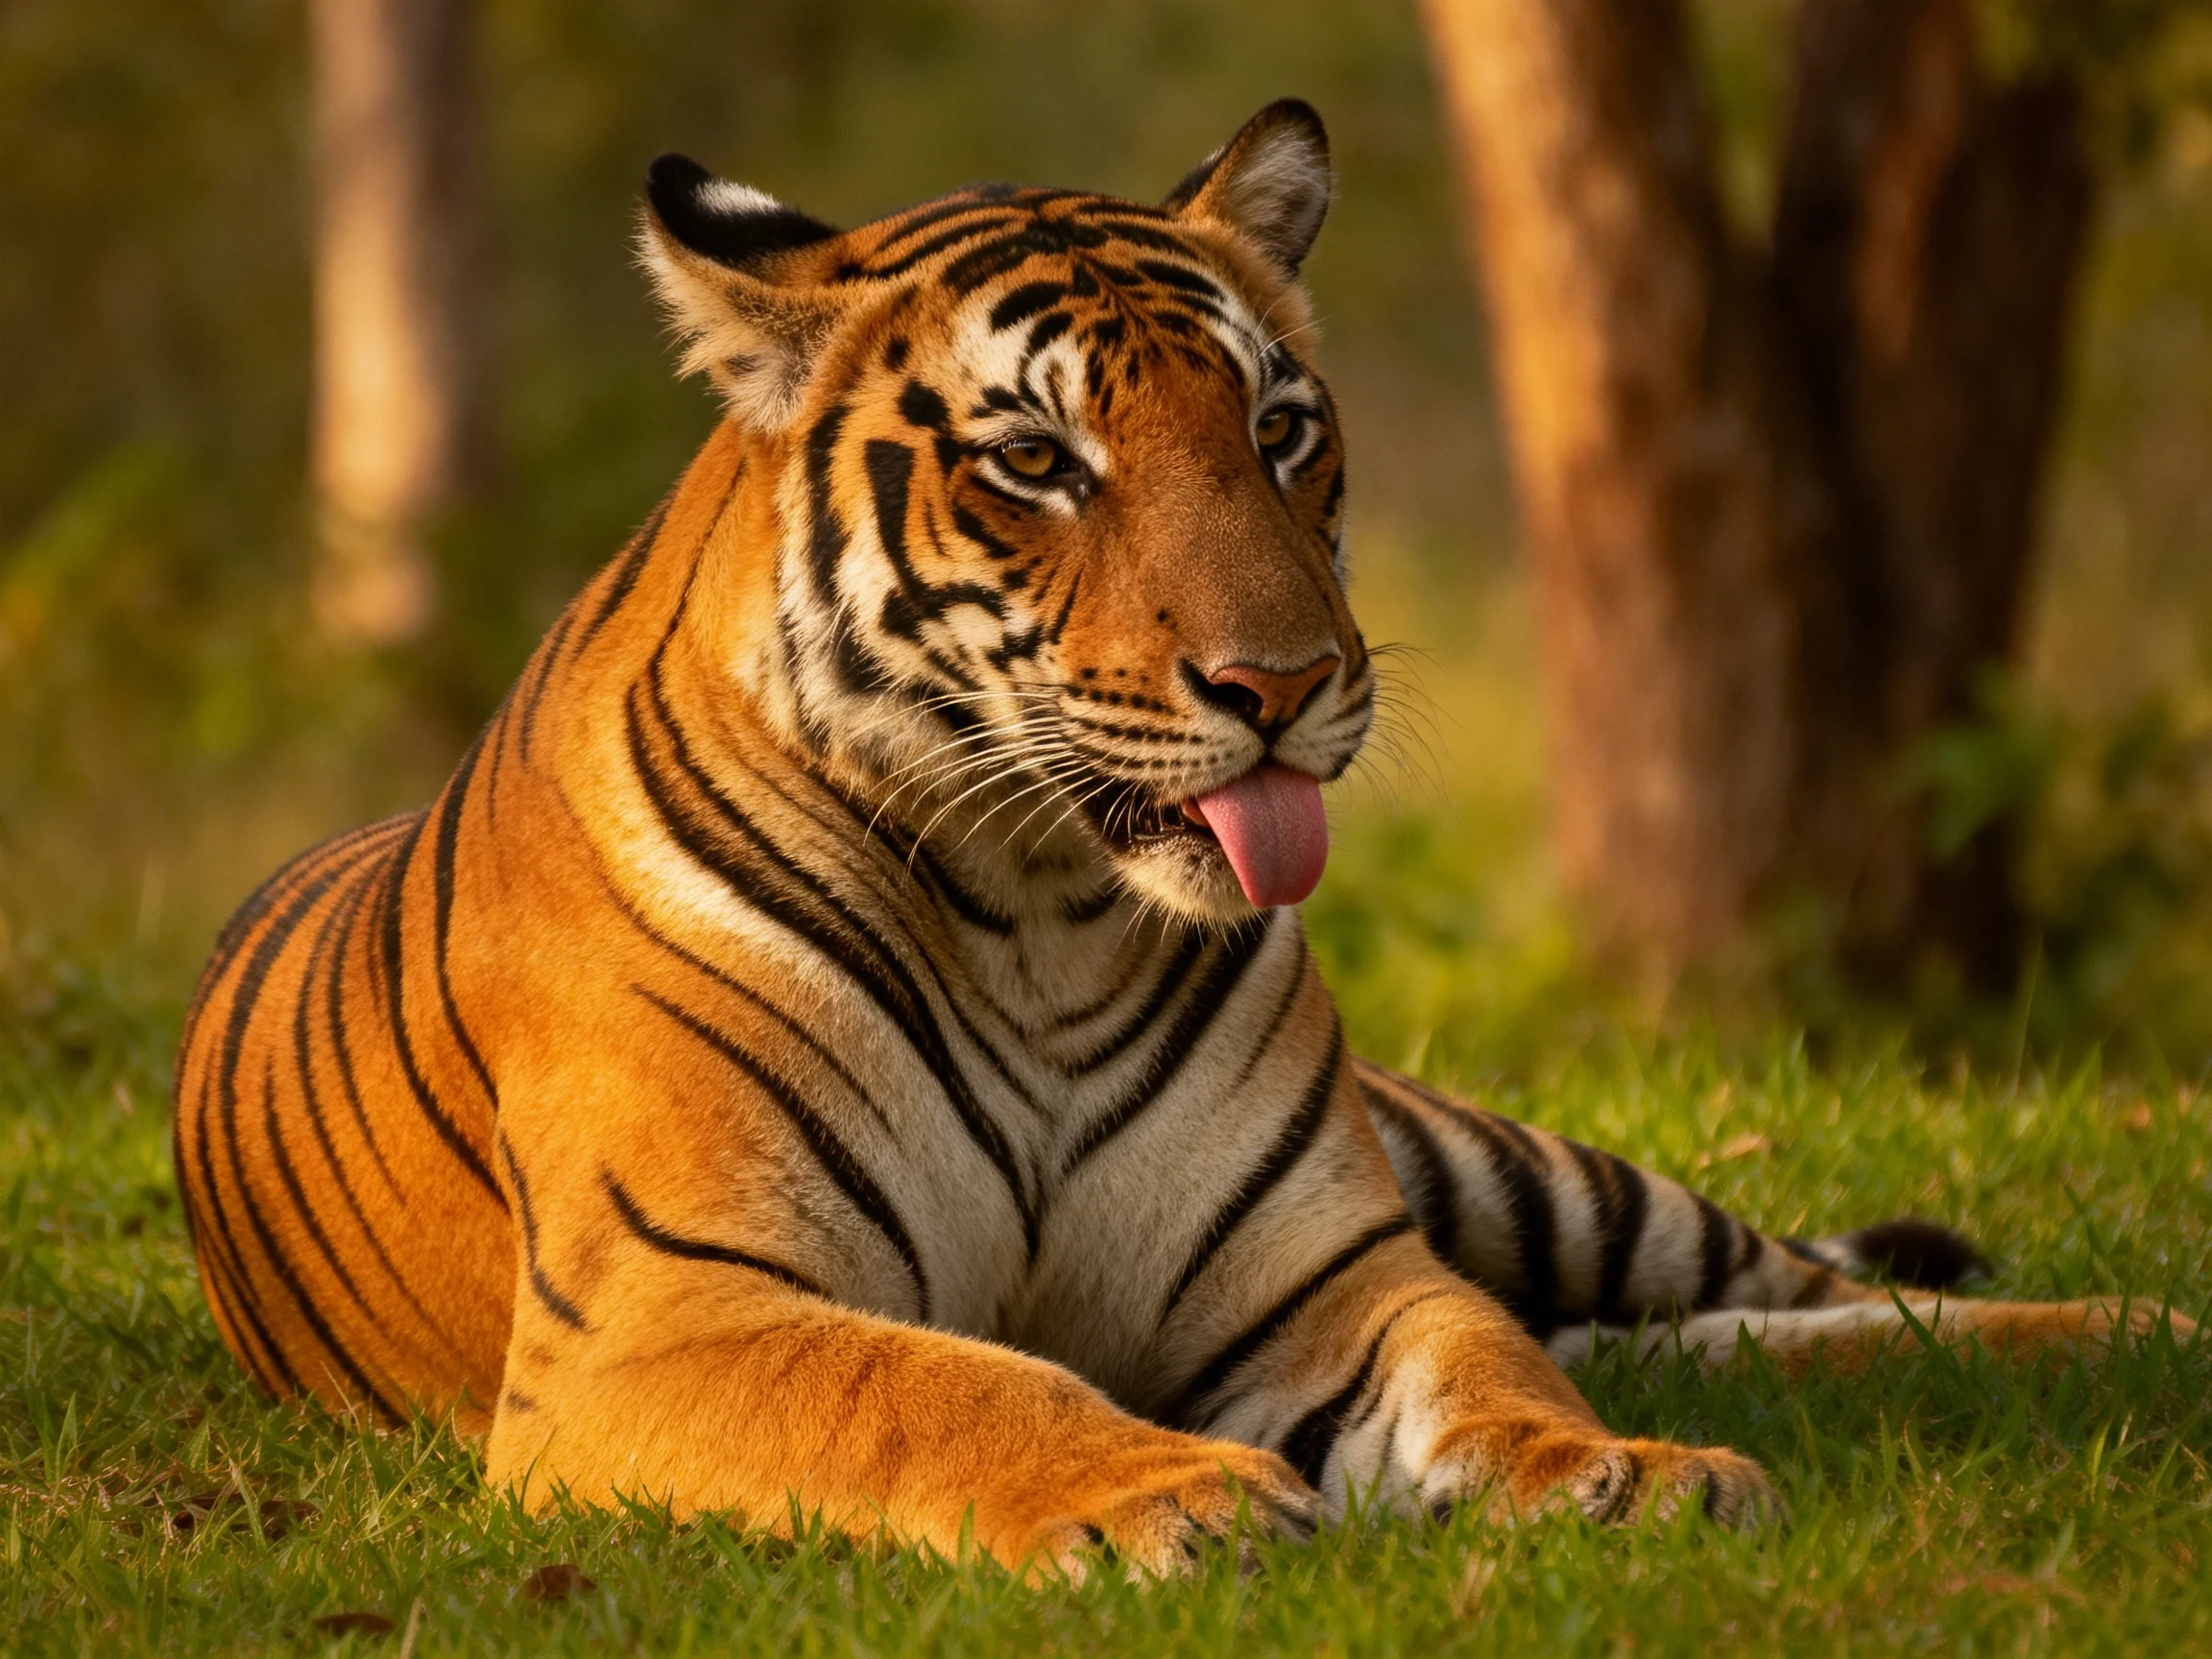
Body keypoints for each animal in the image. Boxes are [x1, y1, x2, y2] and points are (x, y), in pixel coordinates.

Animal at [173, 101, 2194, 1577]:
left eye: (1279, 428)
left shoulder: (1328, 1272)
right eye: (1035, 461)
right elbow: (931, 1385)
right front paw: (1171, 1491)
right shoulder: (676, 1309)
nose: (1279, 681)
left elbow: (1486, 1360)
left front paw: (1605, 1477)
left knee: (1779, 1293)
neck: (1033, 916)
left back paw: (2133, 1328)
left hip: (1508, 1170)